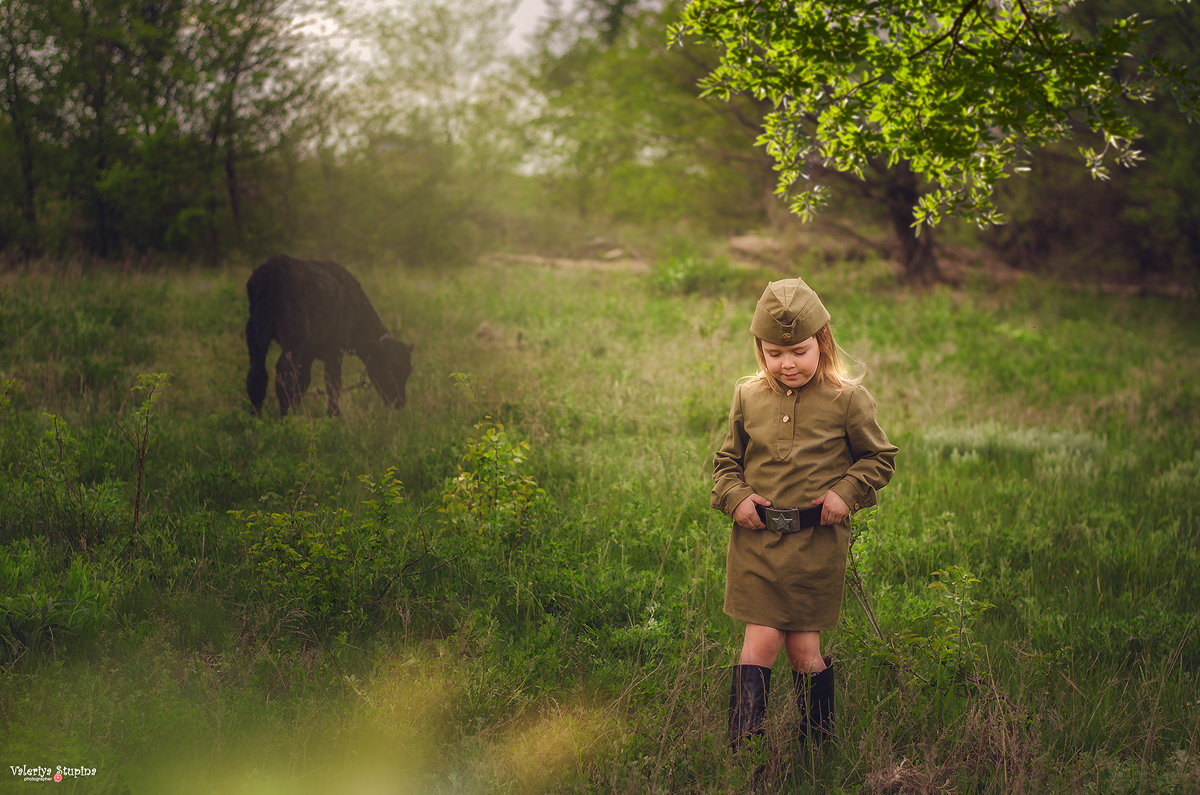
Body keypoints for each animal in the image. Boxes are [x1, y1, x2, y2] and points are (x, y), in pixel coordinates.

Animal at [243, 256, 412, 420]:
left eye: (408, 371)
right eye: (388, 368)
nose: (399, 401)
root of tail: (269, 274)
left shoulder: (308, 355)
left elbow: (303, 382)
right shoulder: (335, 352)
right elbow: (333, 384)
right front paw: (333, 416)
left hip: (256, 335)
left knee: (257, 373)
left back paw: (255, 415)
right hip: (293, 340)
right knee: (284, 373)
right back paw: (284, 416)